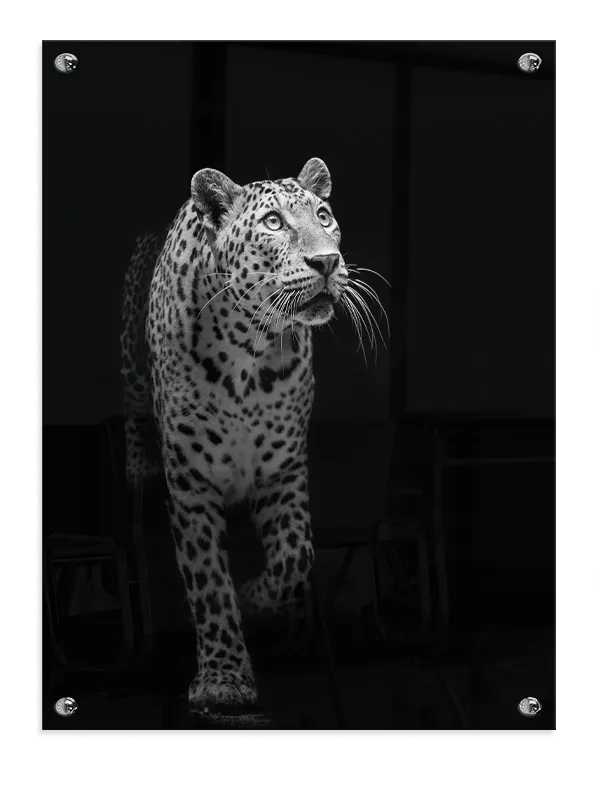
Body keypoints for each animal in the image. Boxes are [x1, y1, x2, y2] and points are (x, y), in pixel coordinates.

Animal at [121, 157, 350, 710]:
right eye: (273, 222)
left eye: (324, 216)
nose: (328, 262)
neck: (250, 346)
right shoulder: (190, 483)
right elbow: (207, 583)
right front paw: (224, 678)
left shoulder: (282, 470)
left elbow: (295, 556)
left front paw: (258, 601)